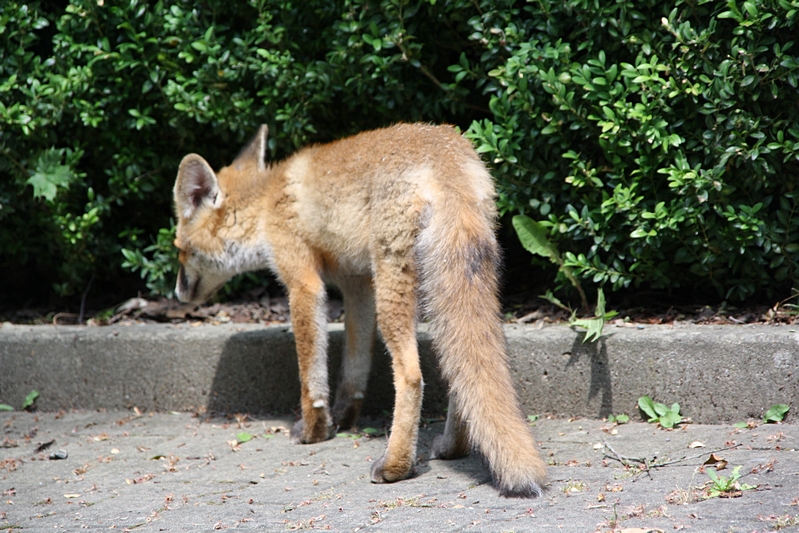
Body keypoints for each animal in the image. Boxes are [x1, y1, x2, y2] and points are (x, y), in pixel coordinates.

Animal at [172, 123, 548, 497]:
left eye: (180, 249)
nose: (176, 295)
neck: (265, 206)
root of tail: (448, 159)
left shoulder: (304, 282)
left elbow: (311, 374)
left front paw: (314, 429)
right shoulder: (357, 287)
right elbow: (353, 369)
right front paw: (343, 418)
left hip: (393, 288)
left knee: (412, 375)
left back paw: (396, 465)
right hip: (440, 291)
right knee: (460, 370)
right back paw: (452, 447)